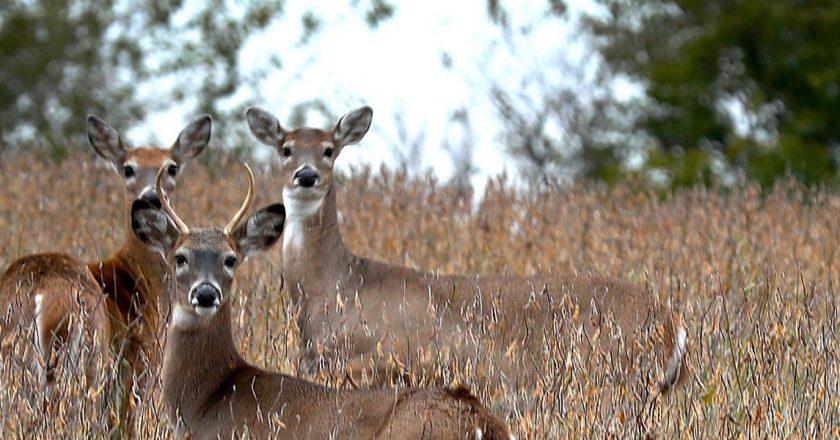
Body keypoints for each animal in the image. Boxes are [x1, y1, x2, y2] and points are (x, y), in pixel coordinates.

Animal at [0, 113, 210, 436]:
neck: (140, 279)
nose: (152, 198)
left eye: (172, 167)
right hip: (88, 362)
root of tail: (43, 290)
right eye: (128, 168)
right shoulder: (138, 368)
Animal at [243, 106, 688, 396]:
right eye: (285, 148)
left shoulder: (390, 362)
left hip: (613, 379)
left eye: (329, 149)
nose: (306, 176)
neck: (335, 286)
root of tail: (673, 324)